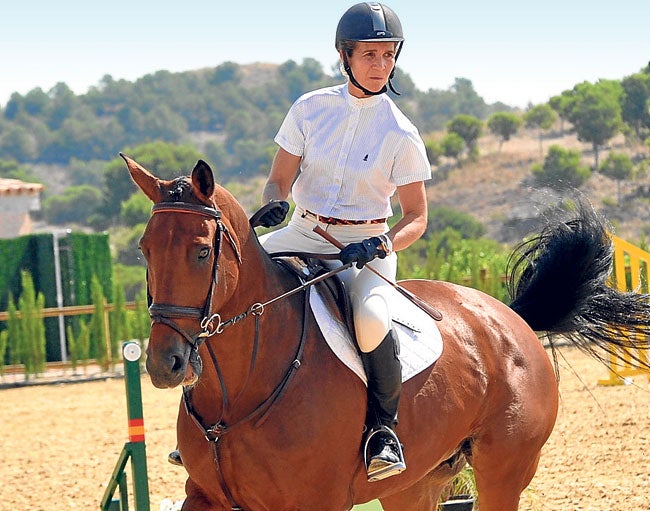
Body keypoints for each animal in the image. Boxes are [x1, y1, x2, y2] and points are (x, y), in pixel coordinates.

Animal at [121, 155, 648, 511]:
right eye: (145, 250)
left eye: (201, 252)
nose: (165, 364)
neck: (241, 388)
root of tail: (508, 316)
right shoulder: (205, 496)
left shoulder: (315, 501)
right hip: (416, 485)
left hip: (504, 471)